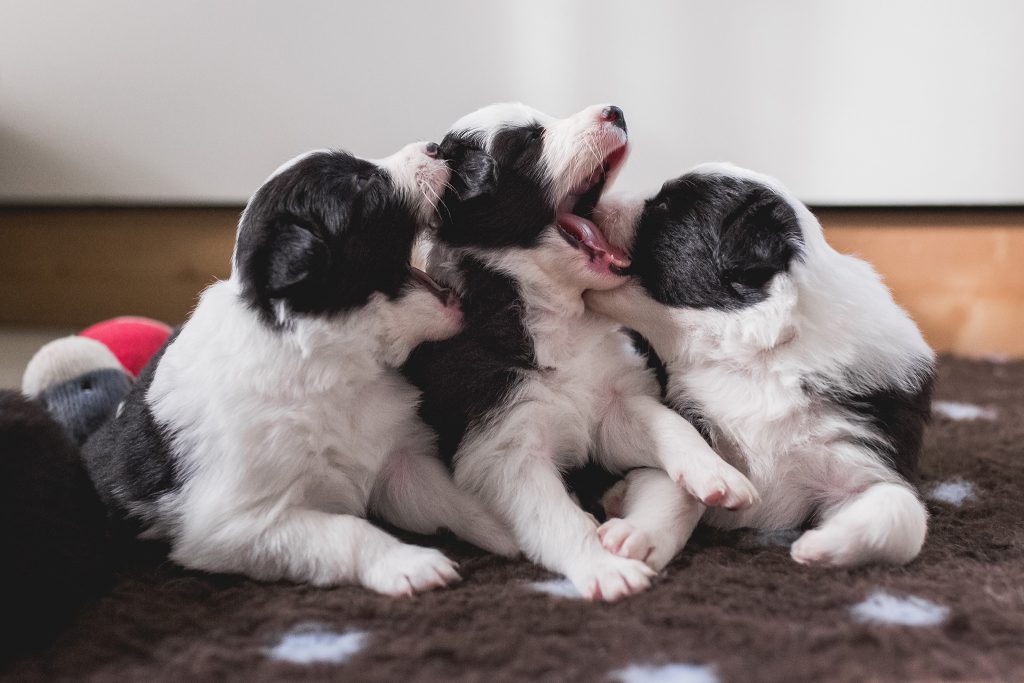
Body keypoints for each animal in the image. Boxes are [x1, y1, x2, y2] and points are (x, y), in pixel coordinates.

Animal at [83, 145, 516, 598]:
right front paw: (411, 564)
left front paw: (515, 532)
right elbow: (349, 531)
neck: (333, 363)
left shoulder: (398, 460)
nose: (434, 147)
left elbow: (455, 499)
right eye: (364, 183)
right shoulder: (241, 523)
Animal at [403, 104, 757, 602]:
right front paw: (606, 569)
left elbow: (668, 423)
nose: (615, 110)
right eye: (529, 141)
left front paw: (717, 474)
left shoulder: (612, 399)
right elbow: (557, 519)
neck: (559, 318)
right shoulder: (505, 445)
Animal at [585, 162, 937, 569]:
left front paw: (820, 544)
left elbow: (902, 512)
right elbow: (674, 483)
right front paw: (638, 537)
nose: (593, 200)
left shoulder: (867, 452)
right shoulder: (686, 415)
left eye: (665, 206)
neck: (762, 359)